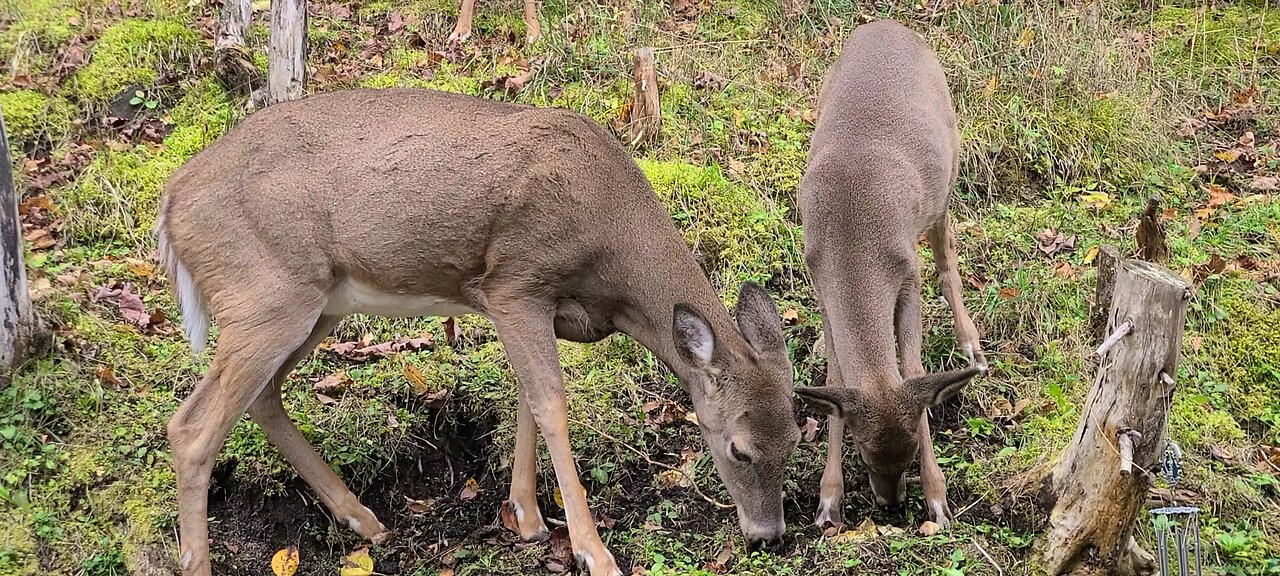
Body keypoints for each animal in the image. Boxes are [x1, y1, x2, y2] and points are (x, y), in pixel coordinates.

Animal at [157, 85, 798, 576]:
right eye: (739, 449)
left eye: (797, 437)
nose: (768, 536)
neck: (611, 257)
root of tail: (170, 205)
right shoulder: (516, 280)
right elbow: (551, 403)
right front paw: (592, 552)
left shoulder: (536, 307)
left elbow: (527, 400)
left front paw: (529, 518)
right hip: (266, 296)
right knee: (190, 427)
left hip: (316, 306)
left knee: (262, 397)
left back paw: (365, 520)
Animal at [788, 21, 988, 535]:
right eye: (864, 452)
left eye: (914, 448)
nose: (892, 503)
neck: (855, 249)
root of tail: (889, 25)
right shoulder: (821, 282)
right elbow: (836, 376)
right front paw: (828, 500)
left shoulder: (907, 276)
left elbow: (913, 371)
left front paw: (937, 498)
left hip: (947, 171)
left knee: (948, 257)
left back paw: (971, 344)